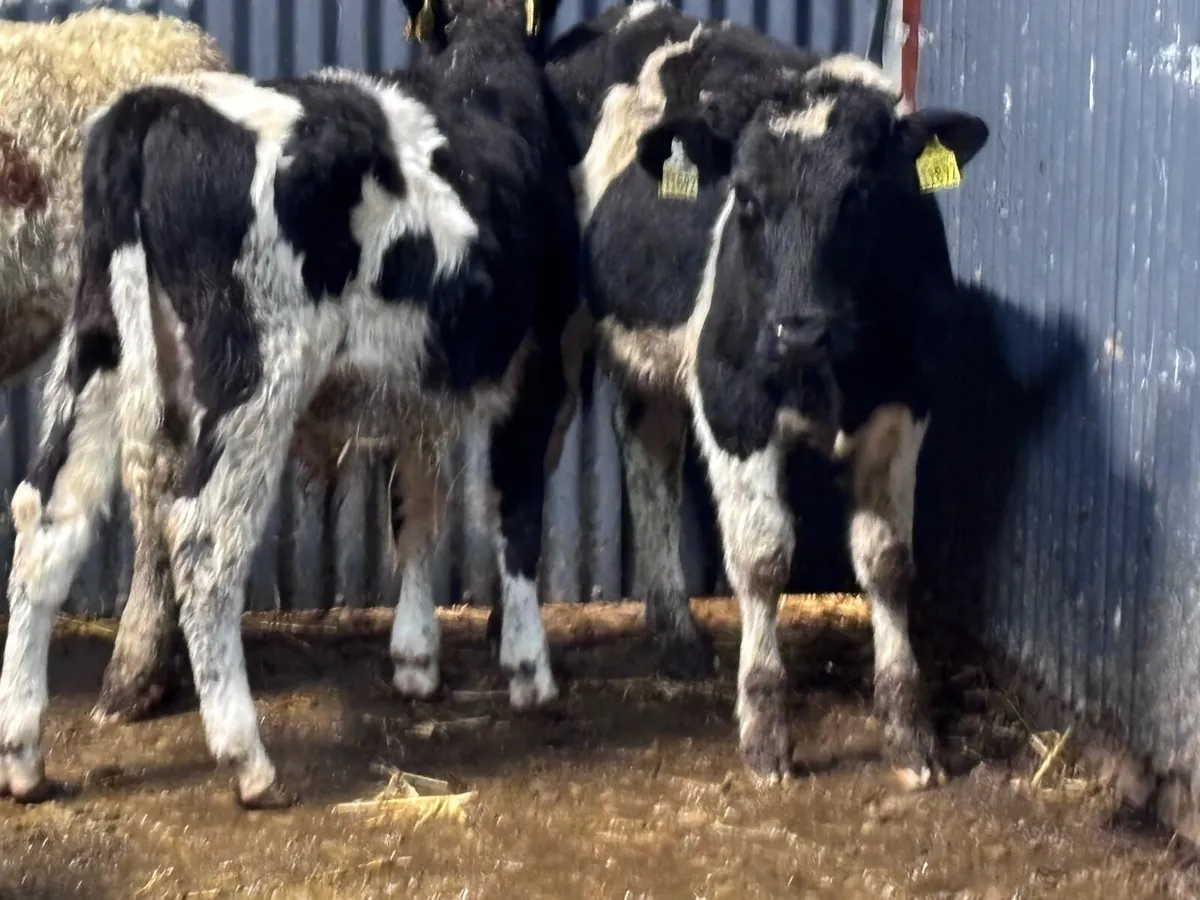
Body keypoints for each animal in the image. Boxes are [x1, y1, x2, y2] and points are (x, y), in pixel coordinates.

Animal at [0, 0, 578, 808]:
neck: (483, 72)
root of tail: (157, 106)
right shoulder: (539, 357)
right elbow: (516, 510)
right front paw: (529, 668)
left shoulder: (418, 383)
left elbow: (415, 510)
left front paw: (416, 660)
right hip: (257, 377)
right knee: (203, 537)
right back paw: (249, 760)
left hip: (98, 349)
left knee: (47, 519)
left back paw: (23, 756)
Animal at [543, 1, 990, 785]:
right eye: (746, 198)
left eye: (862, 195)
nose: (799, 329)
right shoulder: (732, 403)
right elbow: (761, 559)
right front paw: (764, 728)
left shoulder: (904, 407)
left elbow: (888, 562)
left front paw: (909, 730)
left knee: (647, 451)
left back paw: (674, 629)